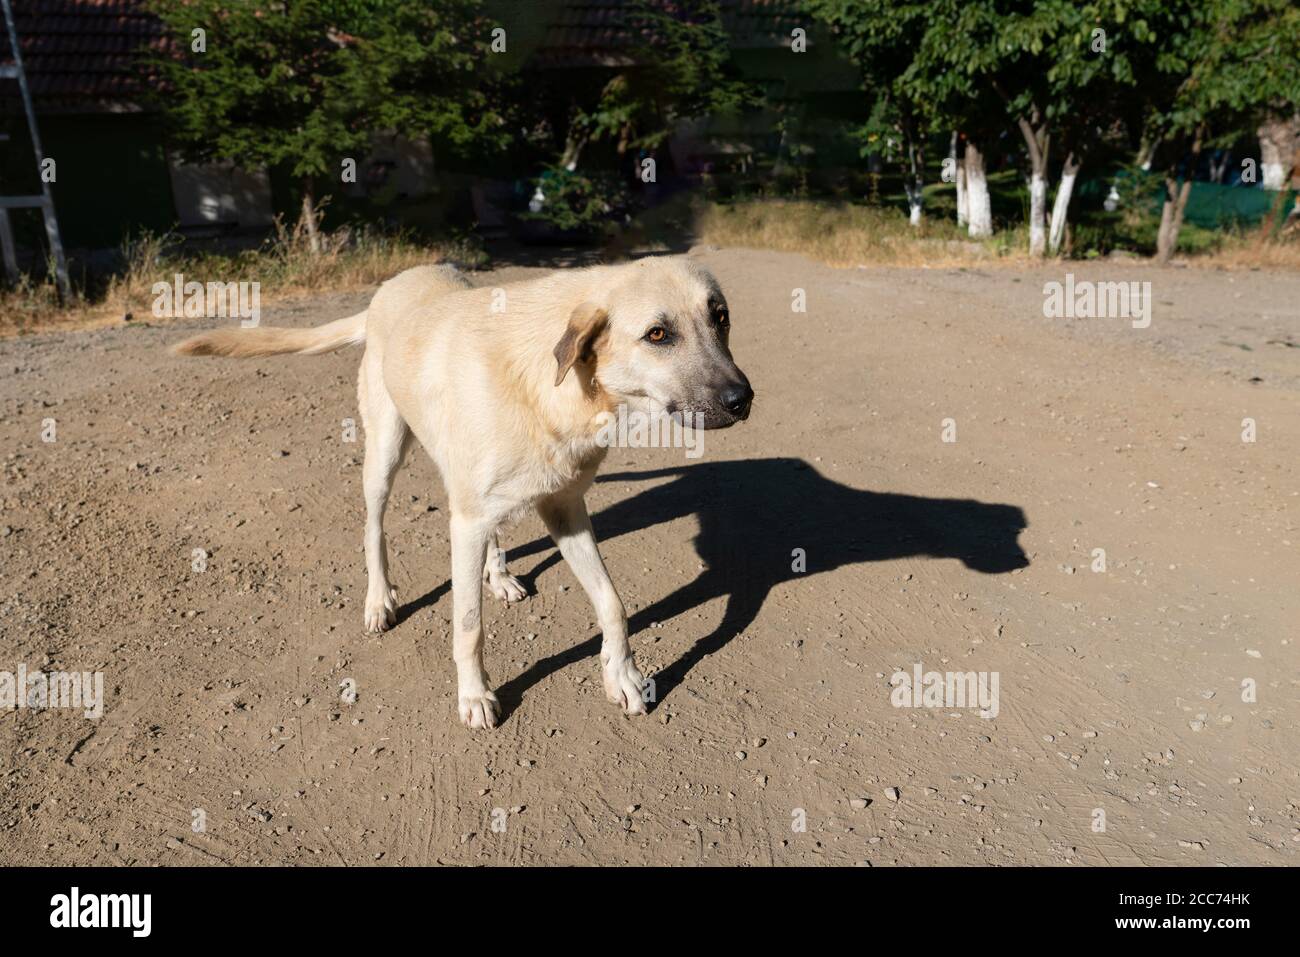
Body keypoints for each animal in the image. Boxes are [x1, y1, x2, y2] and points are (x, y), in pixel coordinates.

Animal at [178, 257, 759, 728]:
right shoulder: (469, 522)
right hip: (385, 454)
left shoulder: (564, 508)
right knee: (374, 529)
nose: (742, 399)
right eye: (657, 334)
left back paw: (497, 574)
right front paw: (475, 697)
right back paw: (378, 600)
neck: (549, 383)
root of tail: (392, 284)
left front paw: (624, 677)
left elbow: (613, 603)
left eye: (721, 317)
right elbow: (468, 627)